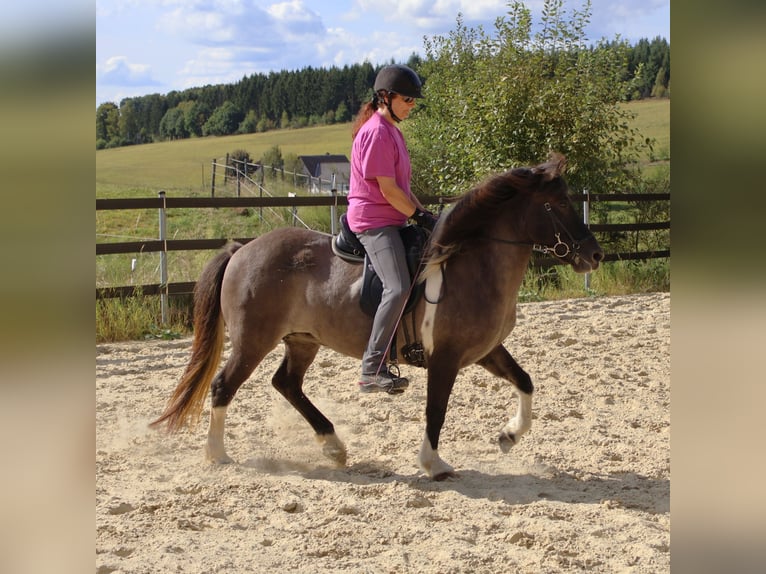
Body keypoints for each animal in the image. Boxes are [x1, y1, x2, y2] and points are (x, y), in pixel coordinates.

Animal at [150, 152, 604, 481]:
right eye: (557, 203)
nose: (595, 254)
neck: (473, 264)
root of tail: (241, 249)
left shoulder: (484, 350)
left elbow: (526, 382)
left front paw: (509, 436)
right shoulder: (445, 359)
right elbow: (436, 409)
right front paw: (434, 464)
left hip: (302, 340)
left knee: (287, 384)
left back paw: (333, 446)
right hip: (252, 340)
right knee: (224, 386)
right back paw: (218, 454)